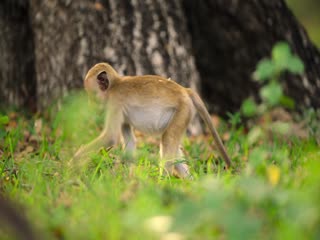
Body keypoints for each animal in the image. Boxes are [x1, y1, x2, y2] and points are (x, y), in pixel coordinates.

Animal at [71, 62, 231, 179]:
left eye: (92, 95)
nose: (91, 105)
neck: (115, 85)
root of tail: (185, 91)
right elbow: (129, 141)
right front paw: (128, 179)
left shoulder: (114, 103)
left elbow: (111, 137)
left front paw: (75, 160)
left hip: (183, 110)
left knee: (167, 139)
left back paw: (163, 182)